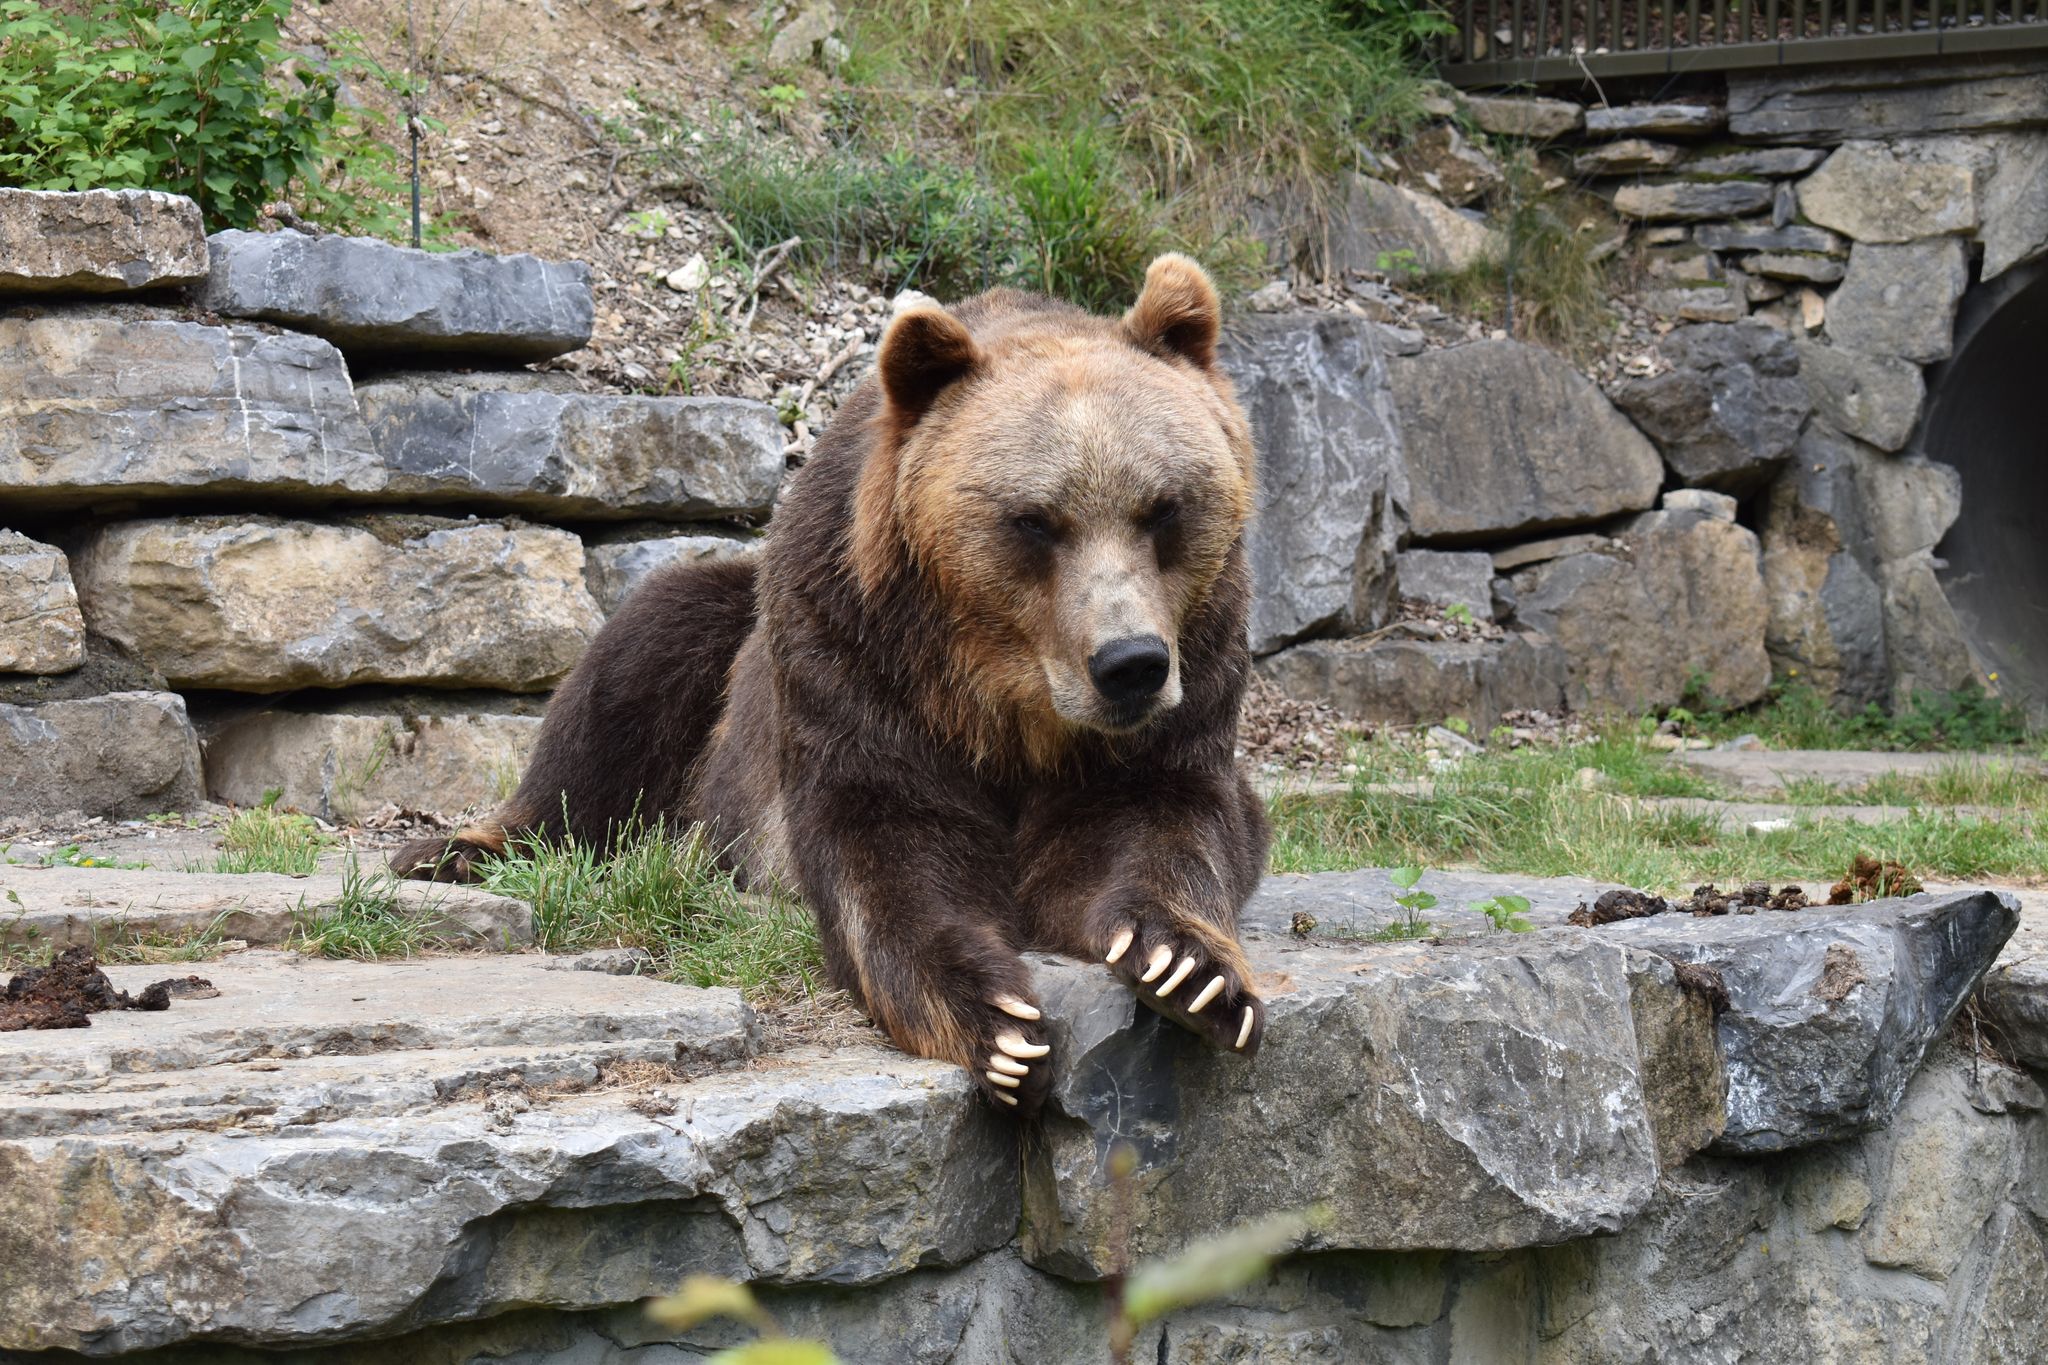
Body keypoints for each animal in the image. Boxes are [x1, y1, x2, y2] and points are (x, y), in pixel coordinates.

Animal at [392, 254, 1270, 1114]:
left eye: (1162, 507)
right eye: (1034, 520)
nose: (1130, 663)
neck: (1004, 700)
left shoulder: (1190, 679)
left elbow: (1157, 823)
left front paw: (1189, 970)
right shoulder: (861, 662)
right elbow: (887, 846)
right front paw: (995, 1021)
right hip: (727, 648)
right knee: (630, 672)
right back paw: (454, 850)